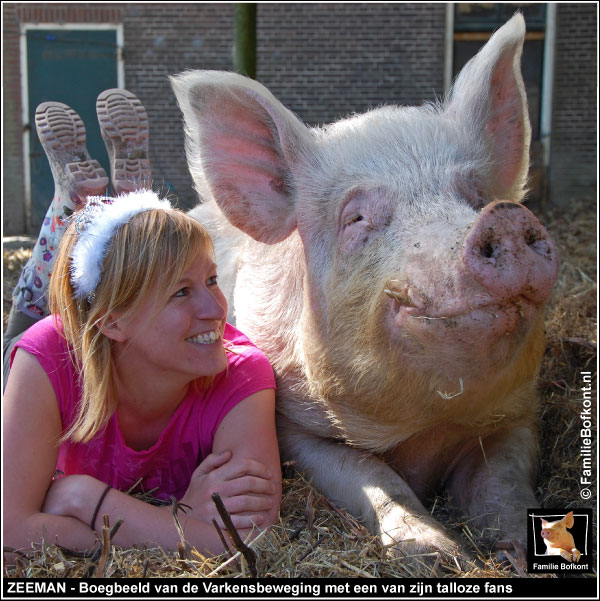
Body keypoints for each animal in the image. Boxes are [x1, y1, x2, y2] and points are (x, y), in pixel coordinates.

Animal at [171, 12, 560, 556]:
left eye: (478, 196)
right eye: (356, 218)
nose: (503, 218)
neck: (426, 427)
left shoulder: (518, 416)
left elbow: (503, 487)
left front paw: (513, 554)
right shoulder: (295, 428)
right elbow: (375, 477)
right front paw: (436, 555)